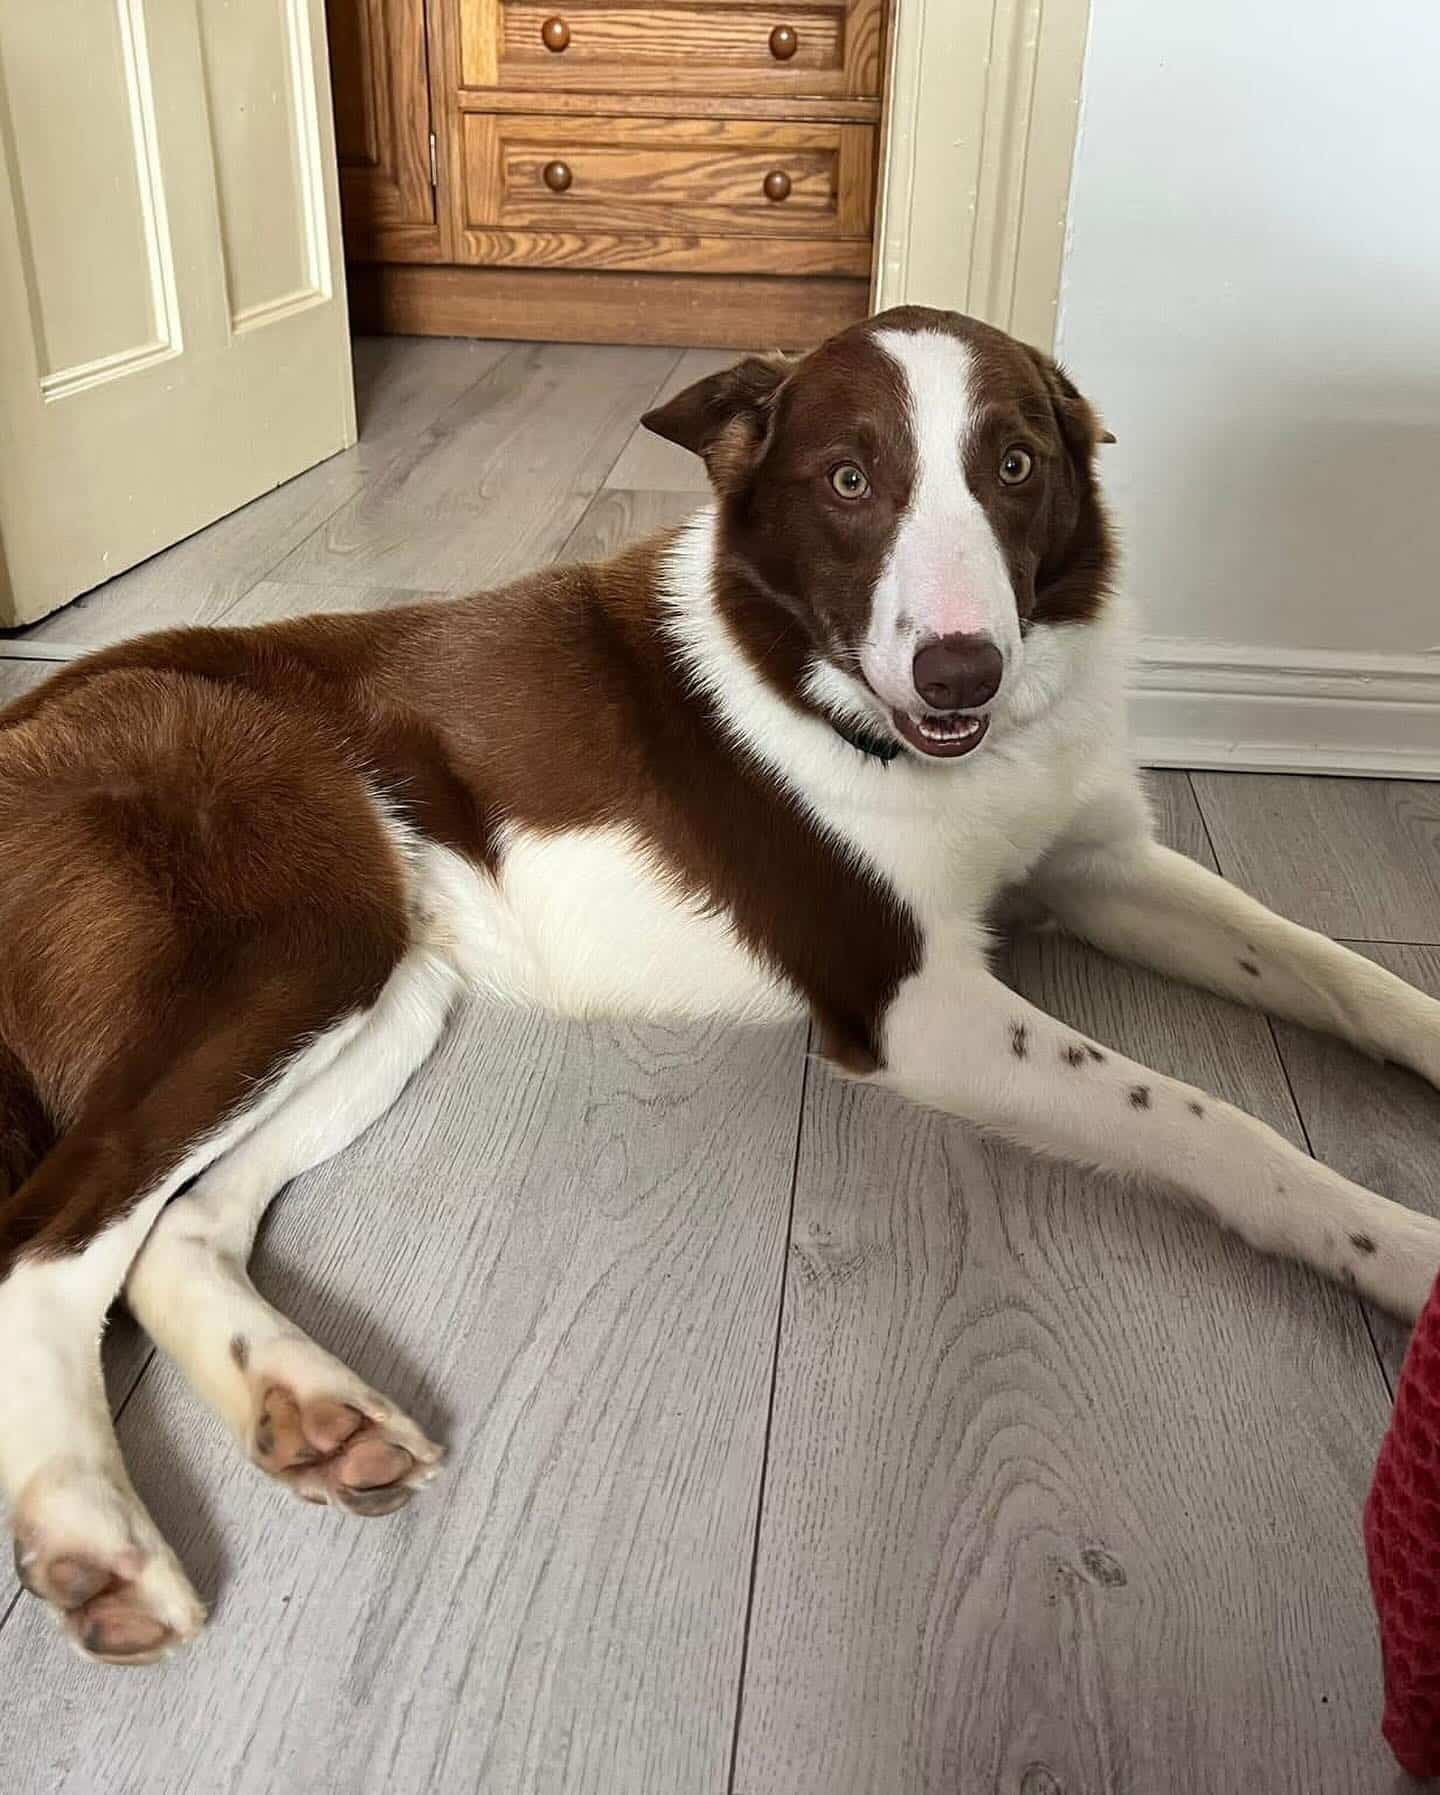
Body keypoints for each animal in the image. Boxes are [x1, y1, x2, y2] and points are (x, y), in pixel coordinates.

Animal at [2, 305, 1438, 1666]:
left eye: (1016, 466)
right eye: (850, 478)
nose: (961, 671)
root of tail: (42, 707)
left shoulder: (1103, 865)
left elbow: (1336, 967)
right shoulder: (918, 1004)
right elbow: (1215, 1123)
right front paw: (1403, 1249)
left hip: (388, 989)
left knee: (175, 1230)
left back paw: (310, 1409)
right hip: (309, 934)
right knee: (52, 1233)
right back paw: (92, 1535)